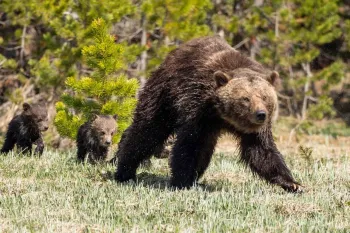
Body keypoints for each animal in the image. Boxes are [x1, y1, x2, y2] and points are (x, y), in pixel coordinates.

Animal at [116, 35, 302, 192]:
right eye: (245, 98)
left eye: (264, 97)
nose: (260, 114)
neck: (223, 116)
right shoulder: (198, 107)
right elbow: (189, 143)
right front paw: (181, 181)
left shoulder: (253, 130)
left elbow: (261, 150)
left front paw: (292, 183)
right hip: (164, 93)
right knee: (148, 130)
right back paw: (124, 171)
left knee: (205, 150)